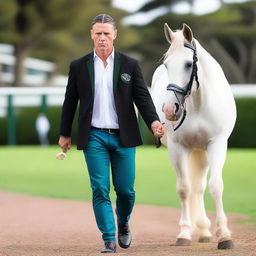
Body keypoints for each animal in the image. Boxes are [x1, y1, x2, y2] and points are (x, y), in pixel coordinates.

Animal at [151, 23, 237, 249]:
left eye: (189, 64)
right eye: (166, 64)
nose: (170, 109)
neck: (198, 104)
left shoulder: (216, 144)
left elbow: (216, 186)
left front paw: (225, 236)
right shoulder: (178, 148)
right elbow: (184, 189)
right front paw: (184, 234)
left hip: (202, 151)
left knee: (200, 187)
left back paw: (206, 231)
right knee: (194, 188)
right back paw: (201, 229)